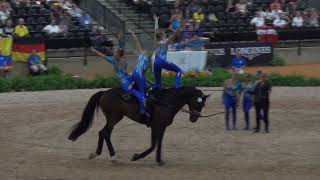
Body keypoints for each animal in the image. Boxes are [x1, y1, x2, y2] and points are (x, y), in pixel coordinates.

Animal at [68, 86, 209, 165]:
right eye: (198, 103)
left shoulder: (162, 127)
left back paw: (96, 153)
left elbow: (159, 144)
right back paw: (113, 157)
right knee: (105, 133)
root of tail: (104, 92)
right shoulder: (156, 126)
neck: (166, 102)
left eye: (202, 105)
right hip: (114, 118)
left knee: (102, 133)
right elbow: (153, 145)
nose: (194, 118)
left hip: (113, 118)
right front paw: (136, 157)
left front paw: (159, 160)